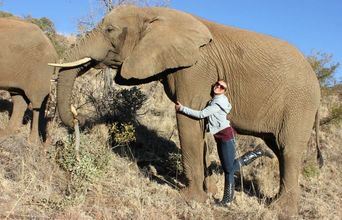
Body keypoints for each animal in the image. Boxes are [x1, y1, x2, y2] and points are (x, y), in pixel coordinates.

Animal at [50, 5, 320, 217]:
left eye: (109, 30)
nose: (74, 117)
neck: (154, 12)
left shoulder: (196, 69)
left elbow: (188, 119)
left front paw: (189, 198)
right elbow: (199, 130)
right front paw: (208, 193)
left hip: (300, 104)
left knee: (289, 150)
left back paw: (280, 210)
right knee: (278, 149)